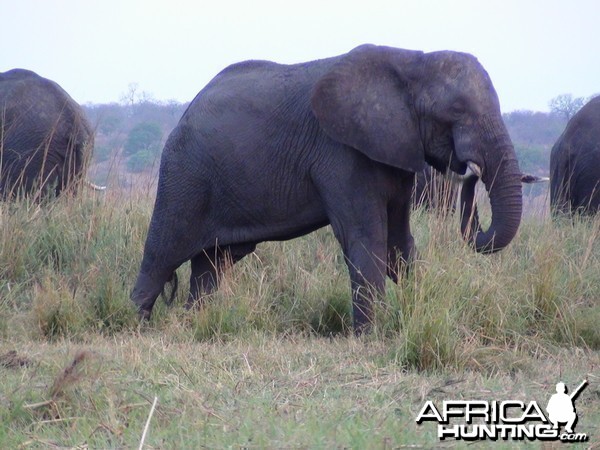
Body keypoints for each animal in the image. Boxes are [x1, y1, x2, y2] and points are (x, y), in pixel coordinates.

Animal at [131, 44, 524, 330]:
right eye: (456, 111)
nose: (470, 168)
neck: (412, 60)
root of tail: (187, 110)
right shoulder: (342, 152)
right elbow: (366, 237)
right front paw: (372, 336)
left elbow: (398, 243)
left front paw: (415, 310)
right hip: (185, 174)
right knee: (163, 253)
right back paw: (137, 324)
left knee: (212, 264)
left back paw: (194, 324)